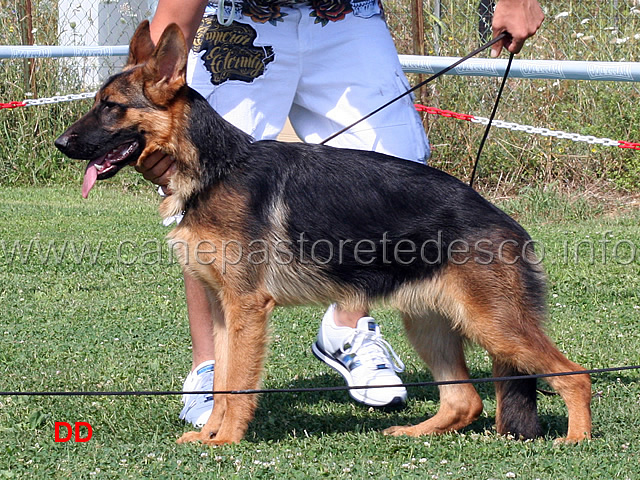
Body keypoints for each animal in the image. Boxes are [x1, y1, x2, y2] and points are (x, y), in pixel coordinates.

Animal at [55, 20, 592, 444]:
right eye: (97, 103)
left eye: (111, 107)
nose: (61, 143)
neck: (217, 167)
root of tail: (505, 221)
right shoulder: (224, 312)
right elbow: (223, 381)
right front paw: (209, 434)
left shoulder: (246, 309)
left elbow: (238, 383)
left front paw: (224, 441)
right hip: (429, 322)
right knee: (465, 401)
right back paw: (413, 433)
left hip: (495, 327)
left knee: (576, 375)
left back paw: (576, 440)